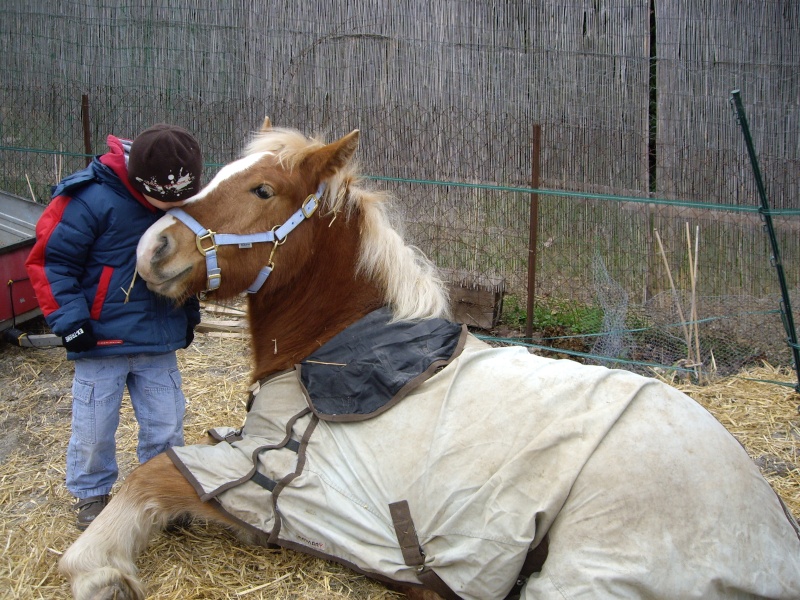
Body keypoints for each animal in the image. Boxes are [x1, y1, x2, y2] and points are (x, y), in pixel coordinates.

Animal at [57, 122, 800, 600]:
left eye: (263, 190)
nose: (153, 248)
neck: (344, 349)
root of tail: (772, 531)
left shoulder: (284, 486)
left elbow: (153, 473)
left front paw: (98, 568)